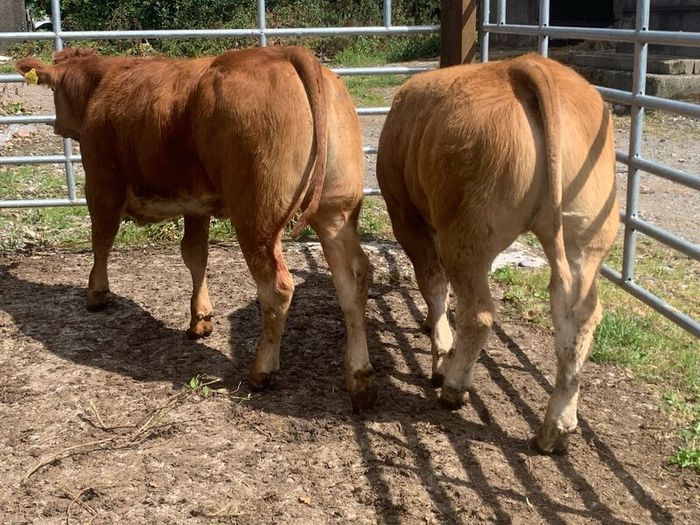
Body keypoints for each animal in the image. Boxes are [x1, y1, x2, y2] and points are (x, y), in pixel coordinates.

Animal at [16, 46, 376, 412]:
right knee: (353, 280)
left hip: (256, 219)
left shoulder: (101, 182)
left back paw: (262, 371)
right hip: (336, 212)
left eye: (54, 91)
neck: (101, 84)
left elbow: (101, 240)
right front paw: (200, 318)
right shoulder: (196, 205)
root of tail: (288, 52)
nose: (56, 125)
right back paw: (359, 379)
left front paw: (96, 293)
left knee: (277, 289)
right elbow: (195, 256)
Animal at [377, 54, 619, 452]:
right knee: (578, 316)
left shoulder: (406, 216)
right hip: (586, 237)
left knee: (478, 313)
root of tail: (526, 66)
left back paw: (453, 387)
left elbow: (432, 283)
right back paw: (556, 428)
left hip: (468, 234)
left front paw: (440, 352)